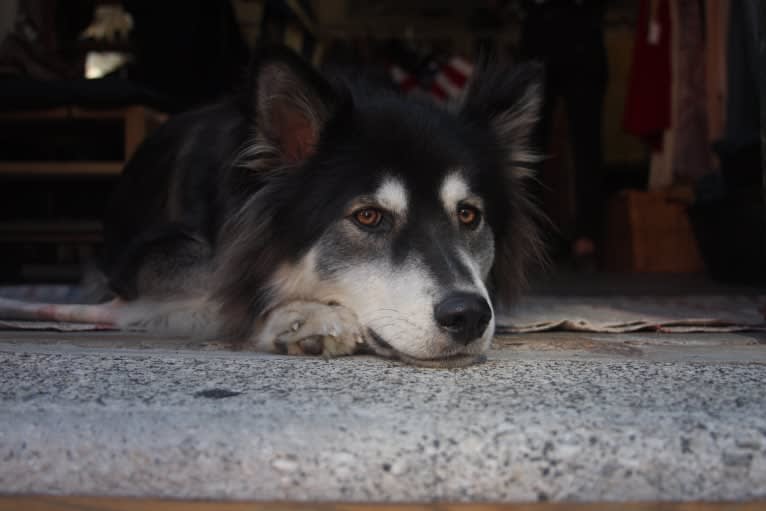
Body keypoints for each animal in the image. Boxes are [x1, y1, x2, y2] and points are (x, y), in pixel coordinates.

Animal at [0, 48, 544, 368]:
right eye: (368, 216)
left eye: (468, 215)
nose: (469, 316)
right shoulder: (142, 258)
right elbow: (227, 278)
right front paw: (300, 315)